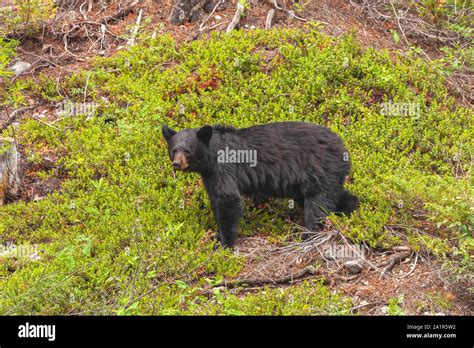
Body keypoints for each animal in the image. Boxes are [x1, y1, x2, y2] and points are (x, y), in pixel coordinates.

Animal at [163, 121, 360, 247]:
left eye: (188, 150)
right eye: (173, 150)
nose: (177, 164)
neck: (211, 156)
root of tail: (343, 147)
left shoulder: (224, 169)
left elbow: (227, 199)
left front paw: (225, 243)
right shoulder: (210, 175)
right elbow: (215, 199)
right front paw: (217, 236)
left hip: (318, 168)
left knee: (317, 203)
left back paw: (307, 235)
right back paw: (350, 209)